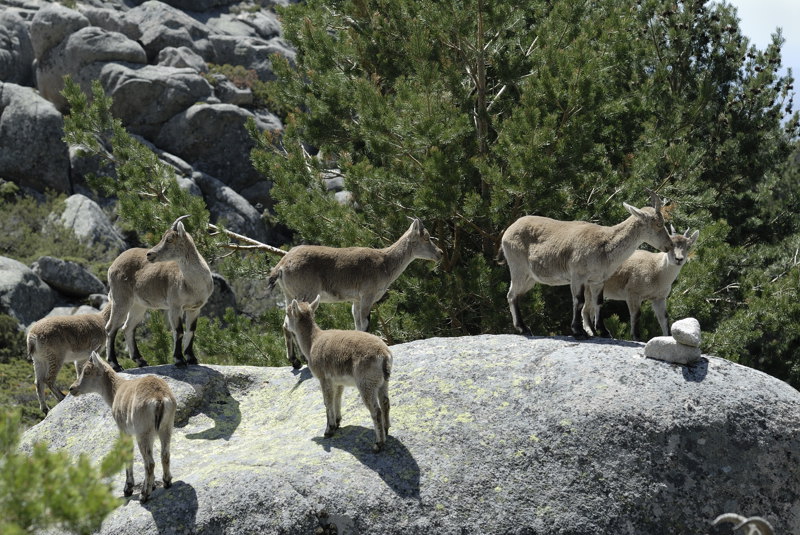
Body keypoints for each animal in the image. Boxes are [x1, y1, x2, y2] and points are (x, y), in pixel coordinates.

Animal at [69, 354, 177, 504]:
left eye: (87, 372)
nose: (72, 388)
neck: (115, 391)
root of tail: (159, 398)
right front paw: (153, 485)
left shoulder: (124, 430)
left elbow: (127, 452)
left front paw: (128, 488)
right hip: (166, 426)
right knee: (165, 454)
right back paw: (166, 482)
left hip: (143, 431)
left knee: (149, 463)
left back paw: (144, 495)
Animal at [105, 216, 212, 370]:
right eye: (163, 237)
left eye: (169, 239)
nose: (149, 254)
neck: (193, 284)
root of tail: (113, 264)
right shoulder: (175, 306)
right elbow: (179, 331)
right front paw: (179, 360)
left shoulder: (195, 308)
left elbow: (191, 331)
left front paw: (192, 358)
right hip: (121, 299)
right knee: (111, 328)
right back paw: (115, 364)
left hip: (138, 305)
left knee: (128, 328)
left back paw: (141, 360)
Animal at [268, 218, 444, 368]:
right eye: (426, 237)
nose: (440, 253)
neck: (385, 263)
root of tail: (281, 265)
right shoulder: (367, 296)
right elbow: (365, 324)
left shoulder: (357, 300)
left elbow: (358, 324)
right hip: (305, 293)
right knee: (291, 322)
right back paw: (298, 359)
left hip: (289, 295)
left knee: (286, 324)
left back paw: (295, 361)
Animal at [282, 296, 392, 454]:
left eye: (287, 312)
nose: (284, 325)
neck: (312, 342)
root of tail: (384, 355)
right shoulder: (338, 381)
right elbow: (337, 399)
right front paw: (338, 422)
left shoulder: (324, 379)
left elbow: (327, 402)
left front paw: (329, 430)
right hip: (383, 382)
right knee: (385, 403)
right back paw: (387, 429)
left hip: (366, 384)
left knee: (375, 411)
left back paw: (378, 444)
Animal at [500, 195, 676, 340]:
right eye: (658, 224)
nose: (669, 245)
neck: (605, 244)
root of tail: (508, 231)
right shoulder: (578, 276)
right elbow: (579, 301)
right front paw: (578, 331)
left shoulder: (598, 280)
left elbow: (598, 302)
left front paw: (604, 332)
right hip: (518, 268)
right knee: (511, 295)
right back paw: (523, 328)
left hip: (530, 278)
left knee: (515, 295)